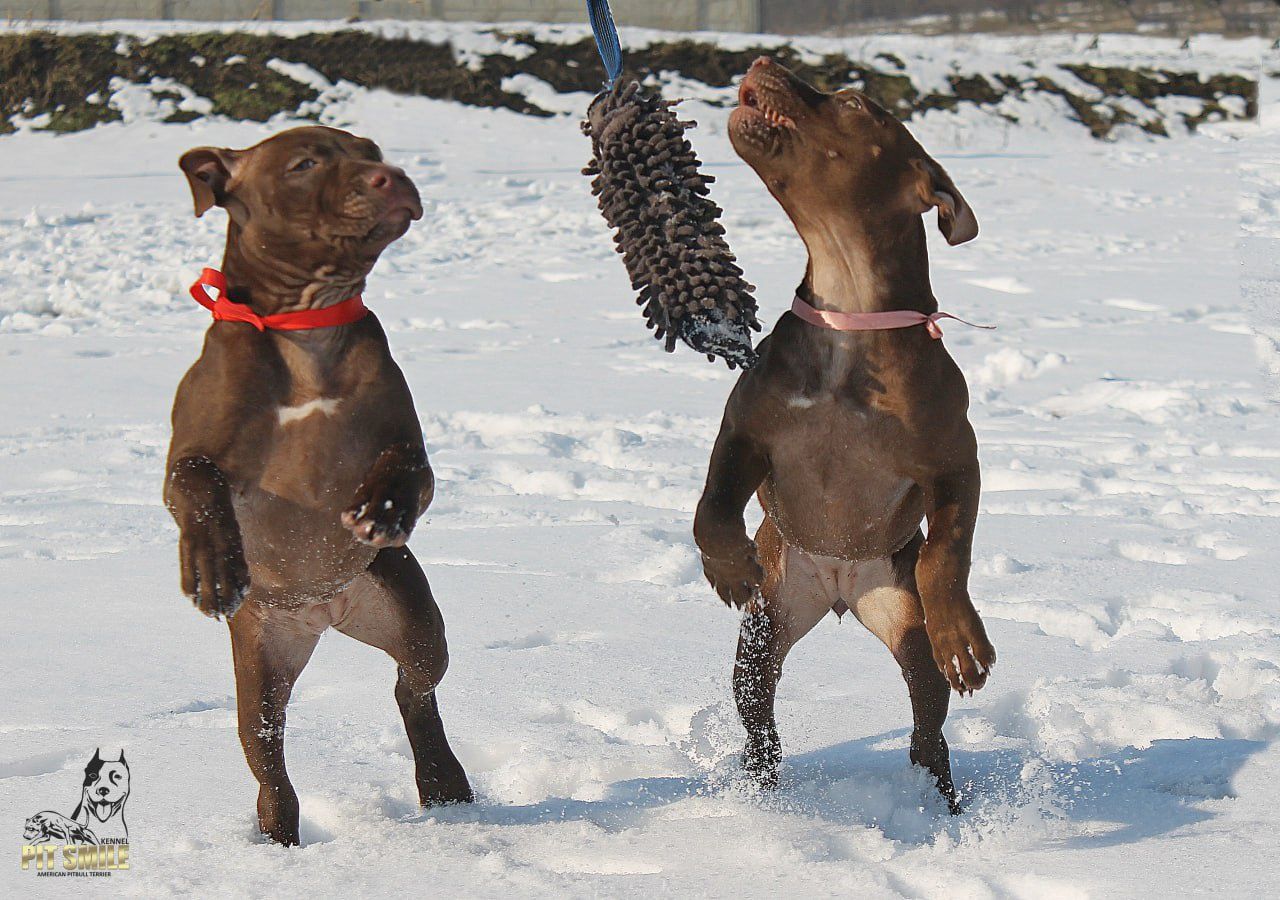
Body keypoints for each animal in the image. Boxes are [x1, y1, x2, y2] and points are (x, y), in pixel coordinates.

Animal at [167, 124, 473, 844]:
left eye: (371, 151)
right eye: (303, 164)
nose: (390, 176)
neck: (306, 325)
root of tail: (323, 614)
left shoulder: (408, 446)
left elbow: (407, 470)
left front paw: (381, 510)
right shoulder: (187, 453)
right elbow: (196, 485)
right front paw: (212, 567)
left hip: (412, 617)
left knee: (414, 689)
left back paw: (443, 783)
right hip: (259, 666)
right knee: (268, 759)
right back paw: (277, 835)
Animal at [691, 59, 998, 814]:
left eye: (856, 104)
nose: (762, 64)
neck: (848, 315)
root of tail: (836, 589)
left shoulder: (957, 461)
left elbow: (947, 553)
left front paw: (964, 638)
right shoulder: (746, 430)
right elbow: (712, 503)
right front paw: (727, 564)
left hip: (900, 612)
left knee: (926, 722)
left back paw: (940, 803)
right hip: (768, 624)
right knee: (759, 718)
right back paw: (762, 793)